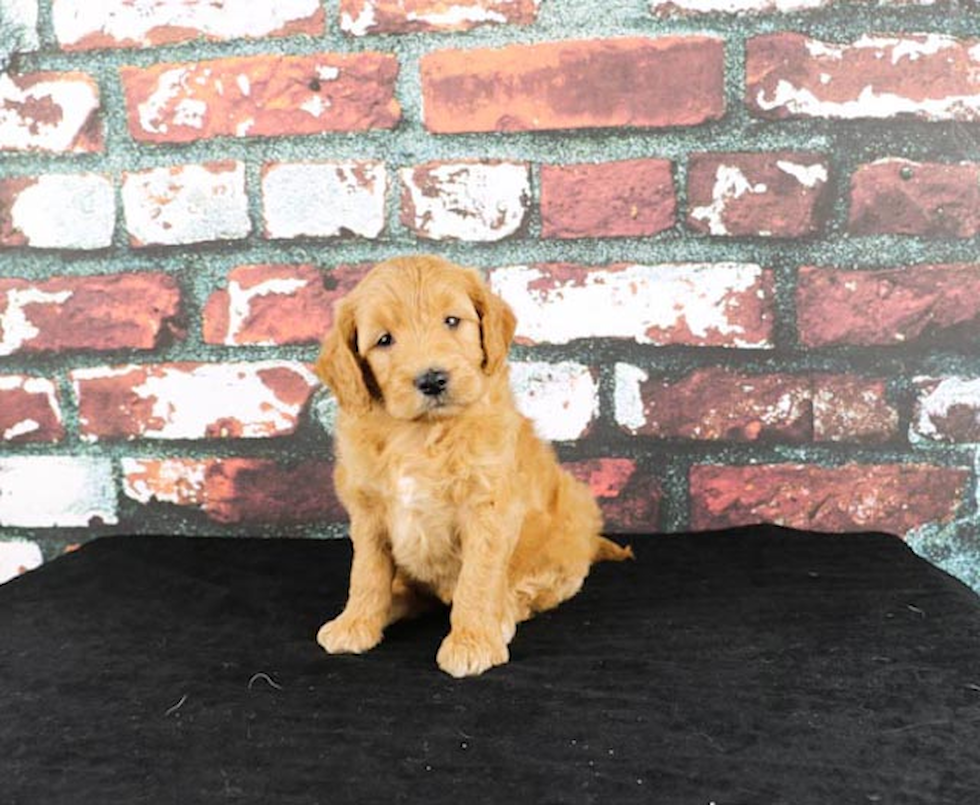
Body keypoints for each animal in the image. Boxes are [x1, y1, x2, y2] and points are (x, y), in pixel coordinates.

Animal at [316, 254, 636, 676]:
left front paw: (473, 641)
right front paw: (355, 623)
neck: (420, 433)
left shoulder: (489, 506)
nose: (432, 379)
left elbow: (478, 578)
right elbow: (367, 572)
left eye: (452, 321)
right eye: (384, 340)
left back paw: (503, 615)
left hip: (569, 521)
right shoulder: (368, 510)